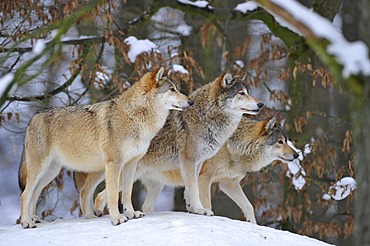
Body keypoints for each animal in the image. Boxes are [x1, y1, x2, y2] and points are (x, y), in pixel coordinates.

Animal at [18, 66, 194, 228]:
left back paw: (38, 219)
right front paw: (117, 219)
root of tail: (33, 119)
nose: (191, 102)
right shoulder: (114, 164)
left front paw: (131, 214)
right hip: (41, 170)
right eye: (172, 89)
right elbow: (113, 194)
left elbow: (127, 193)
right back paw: (27, 222)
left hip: (52, 172)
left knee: (37, 193)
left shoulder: (131, 164)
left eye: (176, 88)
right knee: (25, 194)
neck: (135, 116)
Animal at [73, 72, 264, 217]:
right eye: (241, 93)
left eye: (248, 92)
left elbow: (191, 189)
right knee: (96, 194)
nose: (261, 104)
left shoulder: (198, 163)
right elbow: (194, 189)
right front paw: (201, 210)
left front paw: (193, 209)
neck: (206, 116)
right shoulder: (189, 161)